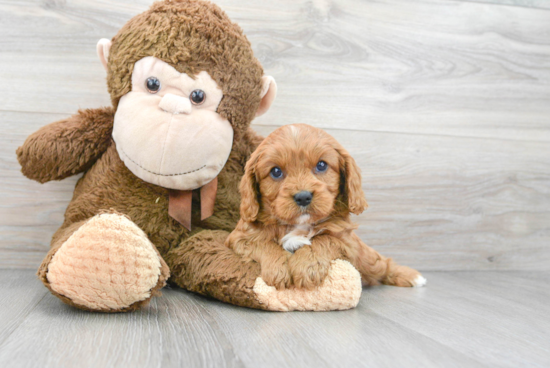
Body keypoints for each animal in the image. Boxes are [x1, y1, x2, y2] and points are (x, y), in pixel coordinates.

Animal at [226, 124, 430, 290]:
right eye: (276, 171)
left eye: (322, 165)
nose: (303, 196)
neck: (297, 225)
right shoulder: (239, 238)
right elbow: (264, 244)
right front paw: (277, 269)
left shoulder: (346, 240)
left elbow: (324, 240)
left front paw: (307, 266)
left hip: (369, 260)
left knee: (384, 264)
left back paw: (412, 276)